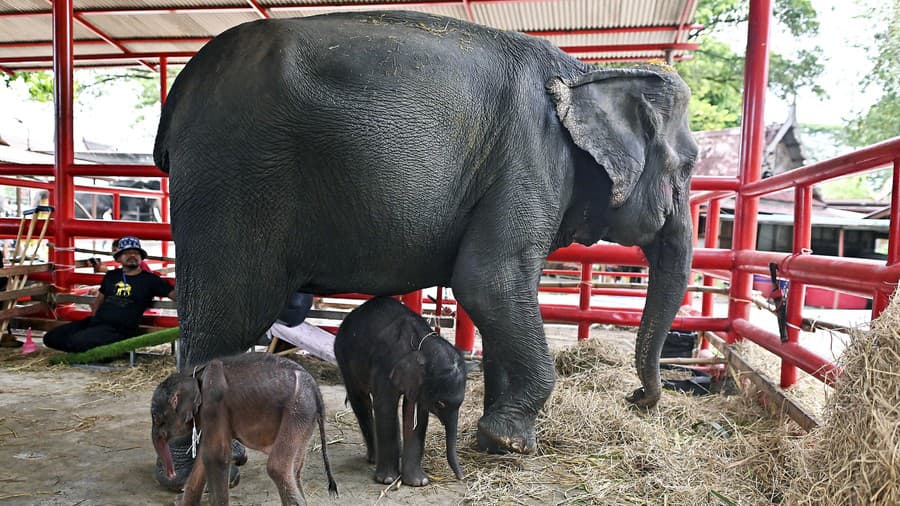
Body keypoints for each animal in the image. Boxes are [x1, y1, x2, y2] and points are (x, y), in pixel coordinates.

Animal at [151, 354, 338, 506]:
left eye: (157, 419)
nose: (171, 474)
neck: (193, 375)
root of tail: (316, 390)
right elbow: (203, 458)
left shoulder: (213, 402)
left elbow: (216, 456)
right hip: (305, 418)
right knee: (295, 470)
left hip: (298, 410)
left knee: (277, 468)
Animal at [156, 11, 696, 454]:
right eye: (690, 166)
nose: (637, 397)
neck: (586, 70)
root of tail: (181, 88)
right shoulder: (532, 161)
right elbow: (489, 282)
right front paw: (512, 443)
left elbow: (499, 297)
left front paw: (495, 440)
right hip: (232, 178)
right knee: (224, 319)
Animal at [334, 296, 468, 486]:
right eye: (440, 403)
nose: (461, 477)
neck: (422, 344)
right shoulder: (385, 364)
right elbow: (385, 407)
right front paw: (388, 480)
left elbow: (415, 414)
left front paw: (418, 482)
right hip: (343, 357)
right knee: (360, 400)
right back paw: (373, 459)